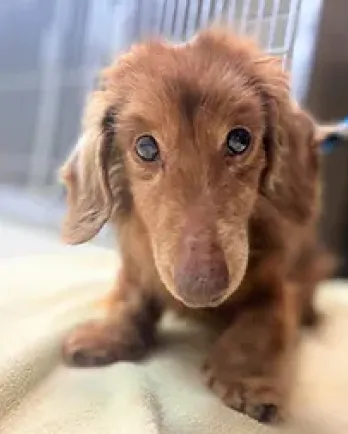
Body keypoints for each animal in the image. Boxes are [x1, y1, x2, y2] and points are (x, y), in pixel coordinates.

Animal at [59, 30, 334, 424]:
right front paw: (108, 333)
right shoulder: (139, 266)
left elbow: (263, 323)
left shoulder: (280, 282)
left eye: (240, 139)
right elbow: (131, 297)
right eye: (145, 146)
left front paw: (248, 379)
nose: (202, 286)